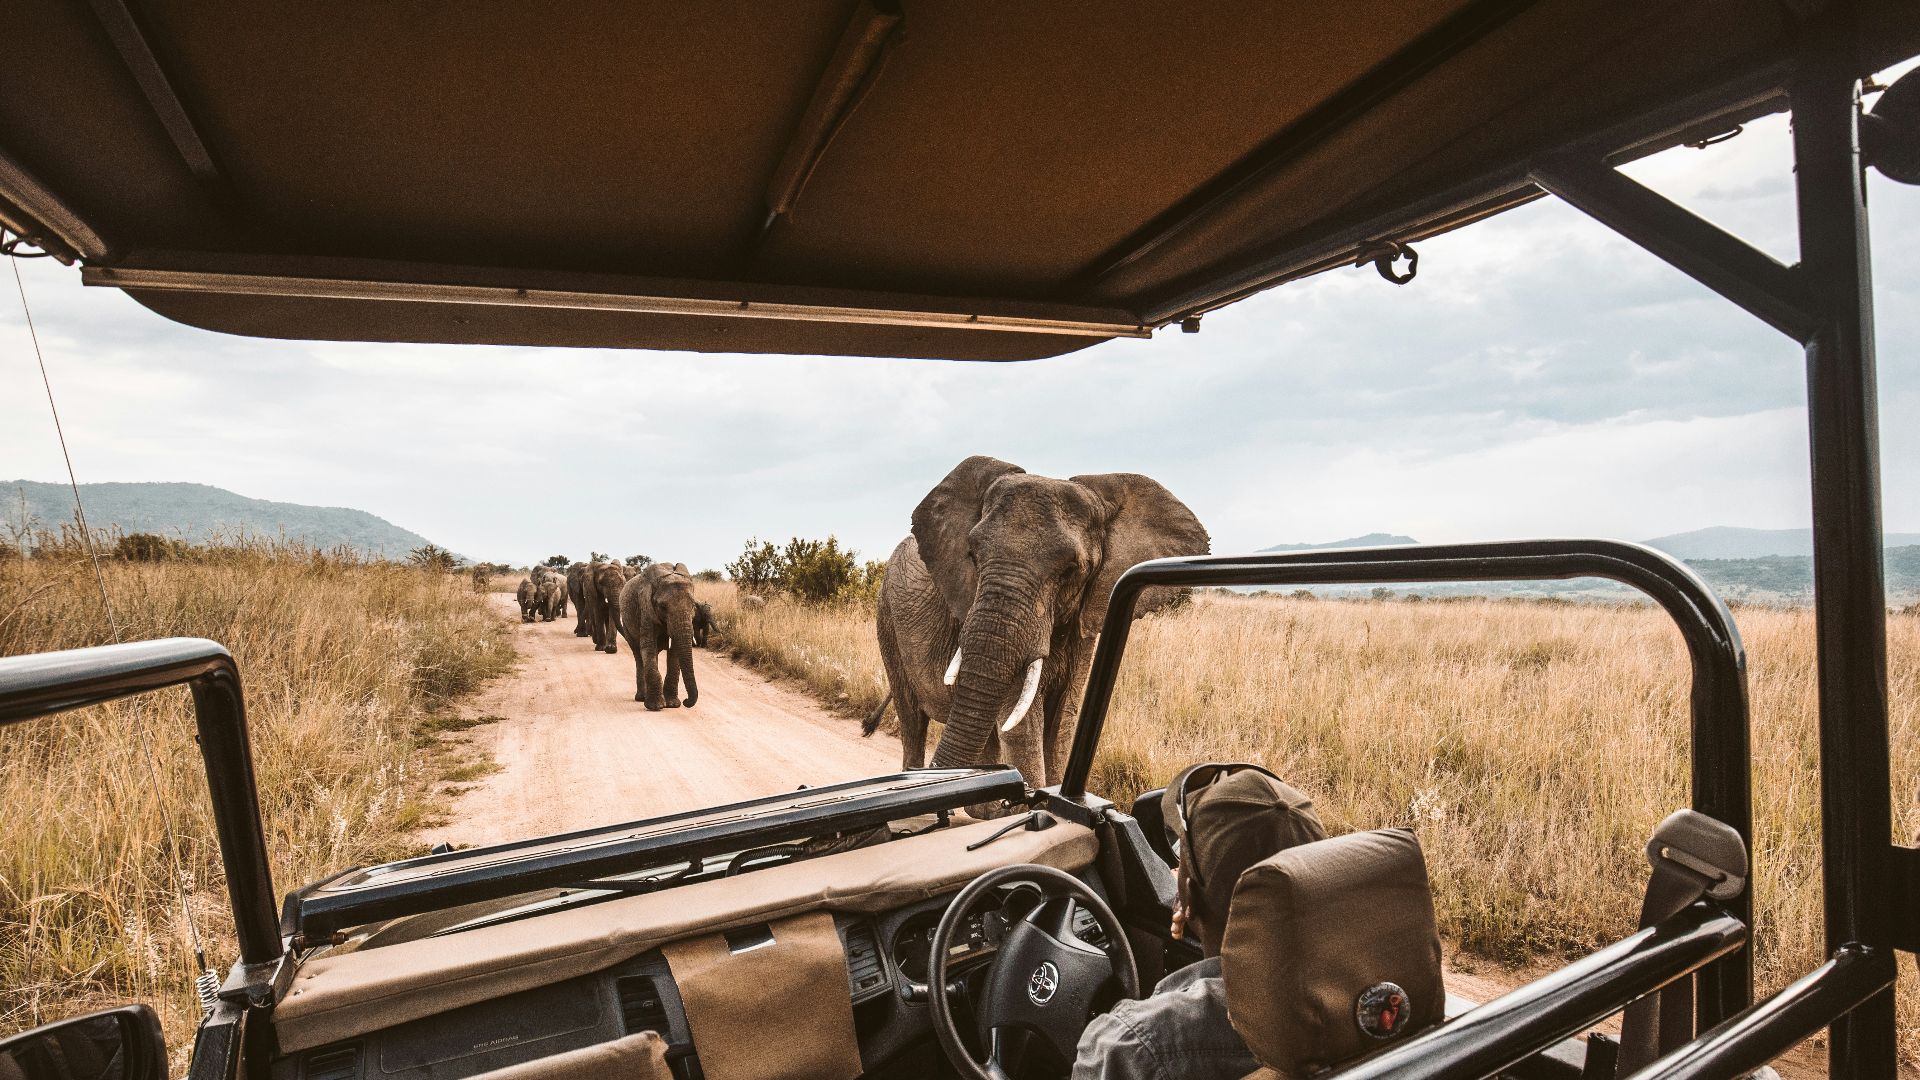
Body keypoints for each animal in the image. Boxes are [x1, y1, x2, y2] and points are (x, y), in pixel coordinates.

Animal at [618, 562, 700, 710]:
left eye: (693, 606)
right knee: (638, 655)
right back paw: (641, 698)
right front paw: (655, 707)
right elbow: (648, 646)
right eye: (663, 607)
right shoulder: (645, 609)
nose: (686, 701)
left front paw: (673, 705)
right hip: (626, 625)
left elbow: (674, 652)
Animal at [873, 455, 1208, 788]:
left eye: (1071, 569)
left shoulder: (1085, 622)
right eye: (972, 555)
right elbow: (1022, 728)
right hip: (887, 619)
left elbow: (1062, 724)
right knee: (913, 722)